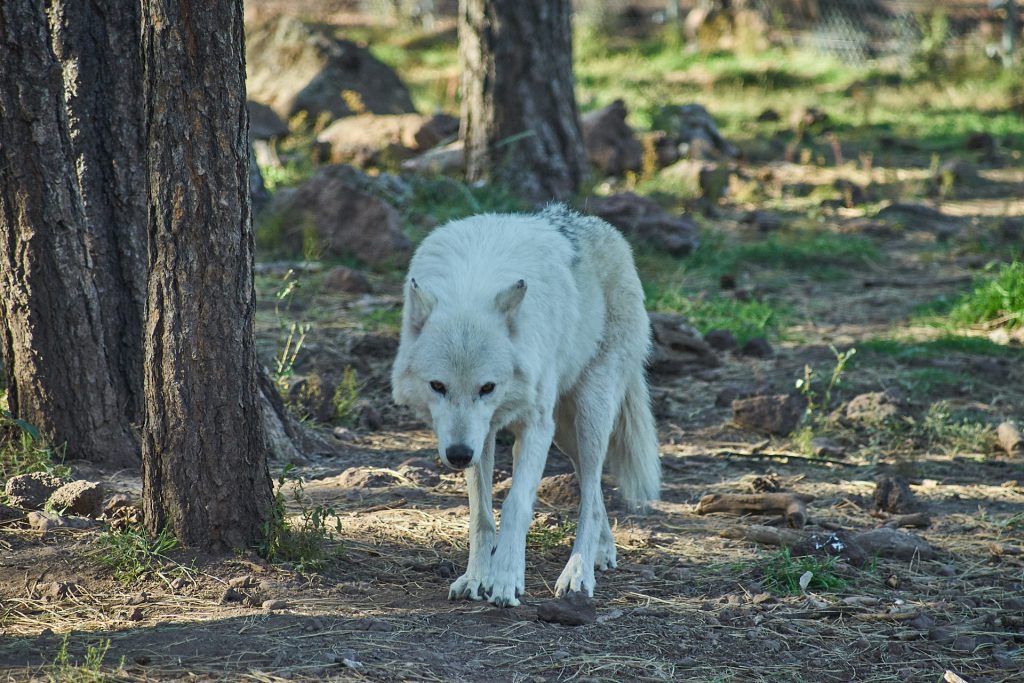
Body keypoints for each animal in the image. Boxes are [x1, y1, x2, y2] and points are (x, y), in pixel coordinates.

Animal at [387, 204, 659, 610]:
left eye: (487, 388)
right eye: (438, 386)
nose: (457, 455)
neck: (473, 280)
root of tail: (607, 231)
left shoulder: (534, 426)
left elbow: (516, 505)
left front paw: (505, 581)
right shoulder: (480, 436)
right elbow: (481, 515)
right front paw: (476, 578)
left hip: (588, 414)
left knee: (592, 489)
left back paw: (578, 573)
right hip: (564, 432)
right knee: (592, 490)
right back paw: (603, 551)